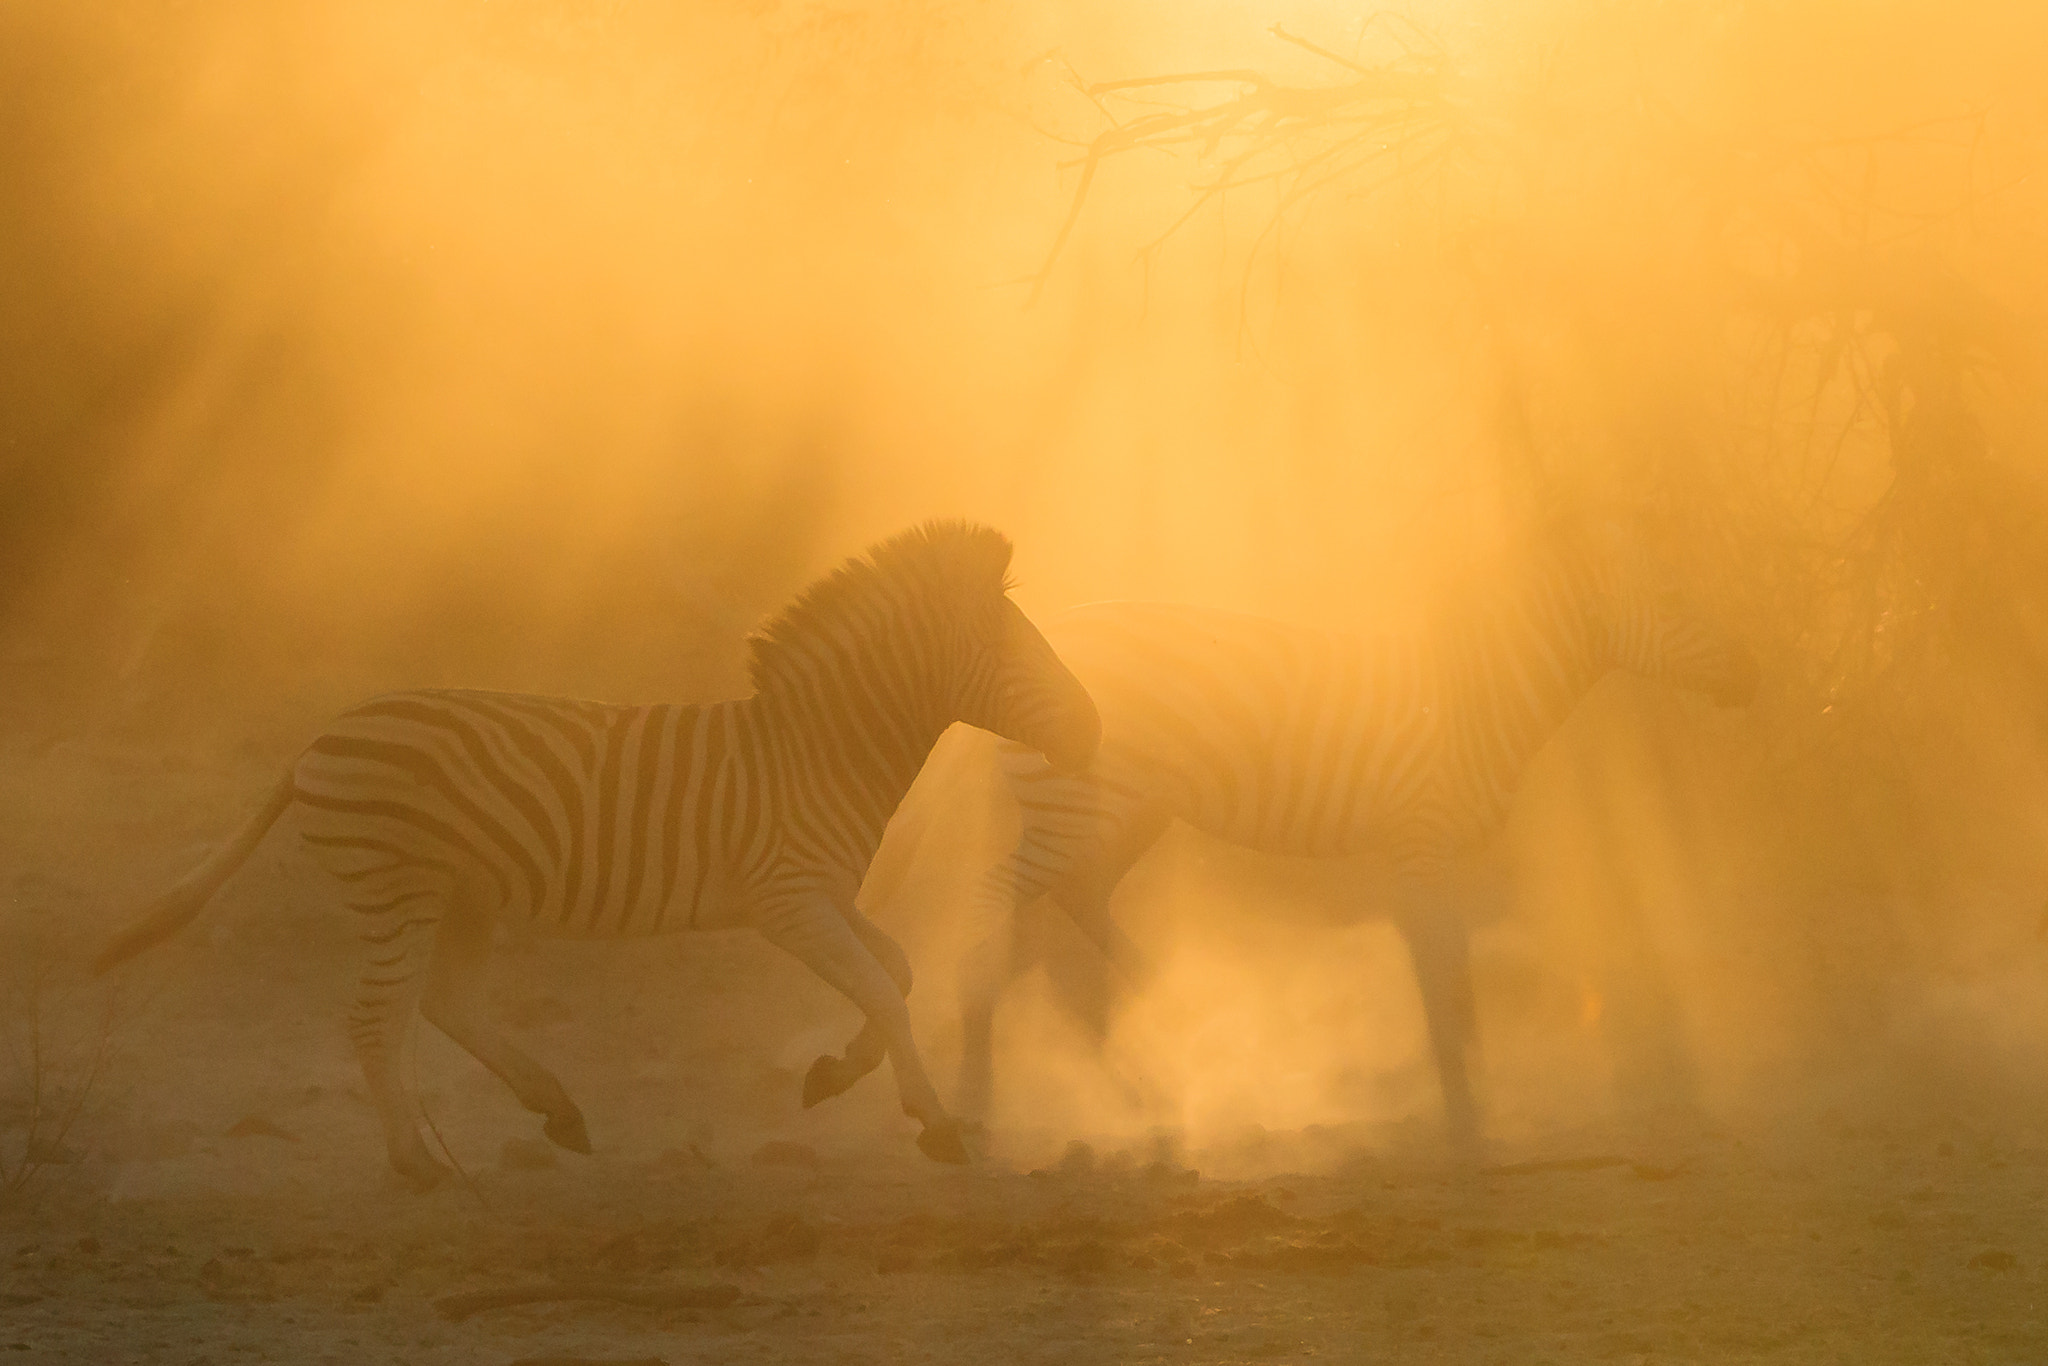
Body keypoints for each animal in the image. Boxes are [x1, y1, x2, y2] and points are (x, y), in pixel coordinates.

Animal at [92, 521, 1101, 1183]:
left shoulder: (823, 892)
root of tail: (316, 740)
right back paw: (420, 1163)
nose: (1093, 730)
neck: (815, 749)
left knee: (444, 1003)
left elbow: (895, 973)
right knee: (377, 1020)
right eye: (1020, 656)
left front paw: (834, 1075)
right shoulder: (787, 901)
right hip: (398, 885)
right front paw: (936, 1126)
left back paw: (554, 1111)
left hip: (462, 892)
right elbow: (885, 989)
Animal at [852, 517, 1758, 1141]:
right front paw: (1463, 1107)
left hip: (1123, 813)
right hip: (1077, 810)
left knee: (1068, 918)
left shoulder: (1441, 854)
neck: (1481, 696)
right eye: (1673, 601)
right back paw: (985, 1086)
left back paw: (1154, 1041)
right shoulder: (1419, 840)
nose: (1750, 679)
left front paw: (1472, 1092)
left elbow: (1455, 969)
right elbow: (1440, 971)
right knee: (997, 911)